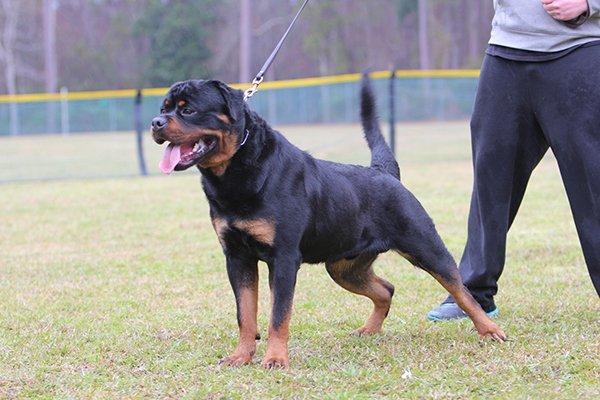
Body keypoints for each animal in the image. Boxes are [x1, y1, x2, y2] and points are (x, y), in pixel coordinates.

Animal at [151, 76, 506, 370]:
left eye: (188, 110)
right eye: (164, 107)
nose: (156, 122)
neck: (235, 175)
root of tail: (384, 172)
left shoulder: (283, 258)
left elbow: (278, 314)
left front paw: (275, 359)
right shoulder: (237, 257)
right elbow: (245, 314)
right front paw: (242, 356)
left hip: (424, 245)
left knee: (461, 290)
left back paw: (490, 330)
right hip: (344, 267)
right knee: (386, 289)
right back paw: (369, 330)